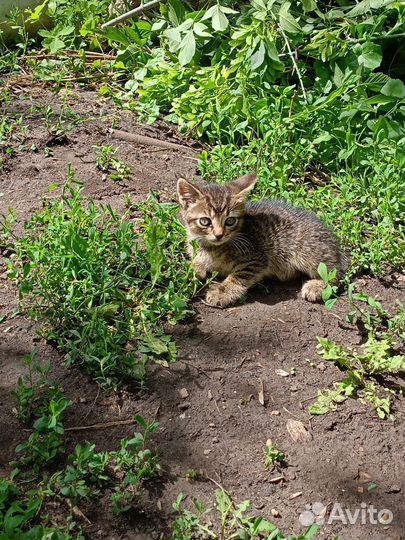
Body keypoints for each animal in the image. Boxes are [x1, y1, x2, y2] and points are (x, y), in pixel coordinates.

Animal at [178, 173, 350, 308]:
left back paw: (316, 285)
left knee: (335, 272)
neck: (210, 248)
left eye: (230, 221)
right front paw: (192, 271)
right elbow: (195, 262)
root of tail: (333, 241)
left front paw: (222, 293)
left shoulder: (256, 259)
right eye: (205, 221)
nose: (219, 235)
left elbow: (236, 278)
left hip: (307, 251)